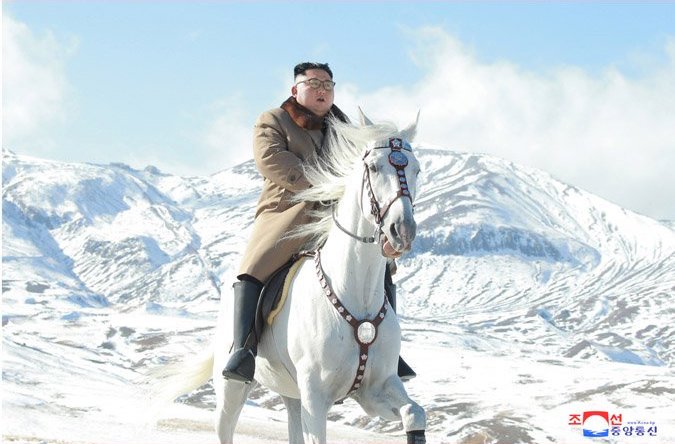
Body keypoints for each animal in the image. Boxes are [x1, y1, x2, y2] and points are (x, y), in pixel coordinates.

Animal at [156, 111, 426, 444]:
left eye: (416, 169)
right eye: (373, 168)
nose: (402, 231)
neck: (355, 293)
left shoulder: (374, 390)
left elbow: (414, 413)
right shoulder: (316, 399)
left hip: (293, 396)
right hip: (233, 388)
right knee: (225, 426)